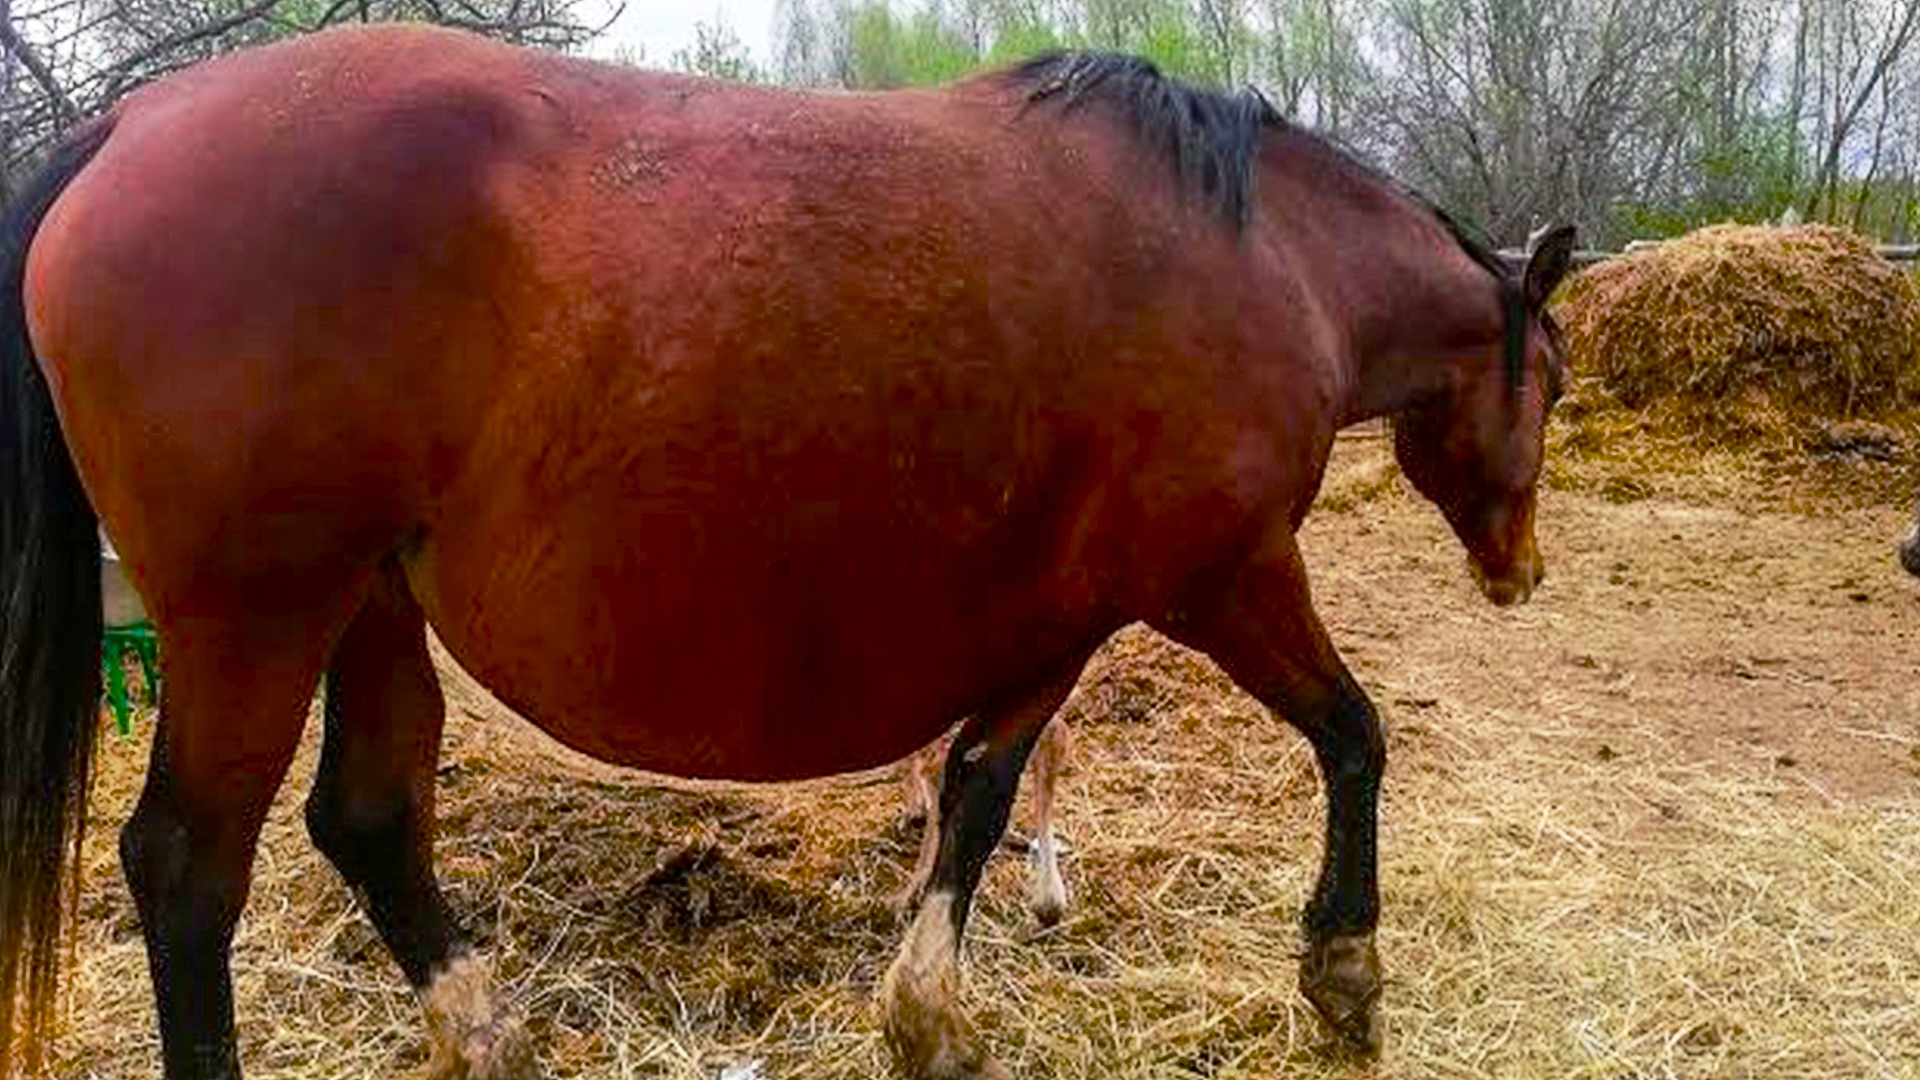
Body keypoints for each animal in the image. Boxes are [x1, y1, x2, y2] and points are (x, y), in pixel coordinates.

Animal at [0, 25, 1566, 1076]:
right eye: (1552, 378)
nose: (1522, 570)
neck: (1268, 260)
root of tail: (128, 125)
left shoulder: (1055, 620)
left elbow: (979, 795)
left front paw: (930, 1016)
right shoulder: (1225, 580)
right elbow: (1353, 737)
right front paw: (1345, 975)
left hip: (370, 603)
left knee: (370, 820)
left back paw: (483, 1029)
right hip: (257, 619)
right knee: (189, 869)